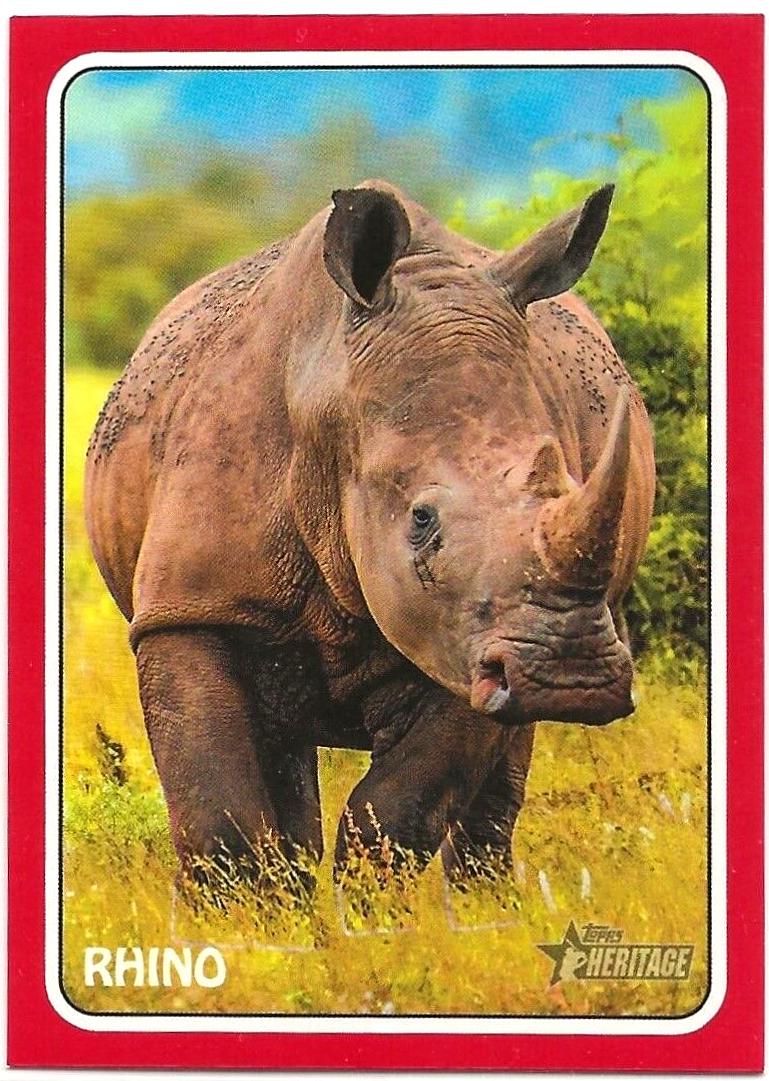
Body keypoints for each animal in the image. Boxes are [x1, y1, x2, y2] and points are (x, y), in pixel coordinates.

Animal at [85, 180, 655, 888]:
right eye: (422, 520)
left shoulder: (464, 636)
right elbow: (221, 818)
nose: (572, 675)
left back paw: (484, 902)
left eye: (565, 482)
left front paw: (367, 908)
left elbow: (398, 811)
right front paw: (248, 915)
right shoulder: (189, 606)